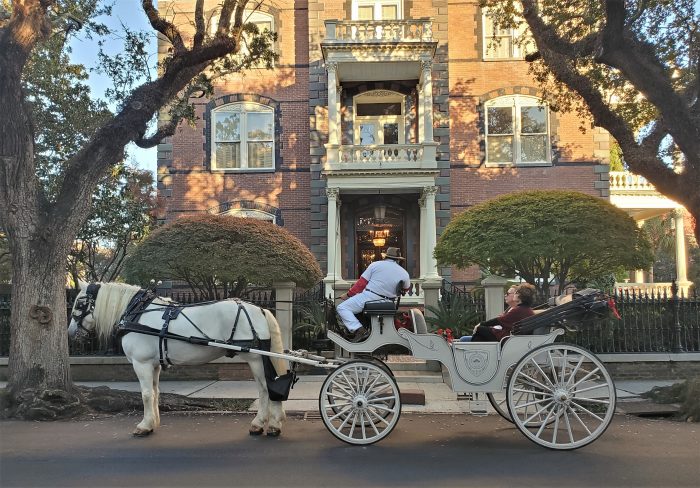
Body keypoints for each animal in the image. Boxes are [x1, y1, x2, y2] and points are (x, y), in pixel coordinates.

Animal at [65, 282, 284, 438]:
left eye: (80, 302)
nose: (70, 333)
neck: (137, 313)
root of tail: (260, 310)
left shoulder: (141, 363)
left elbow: (145, 394)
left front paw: (144, 426)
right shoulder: (153, 365)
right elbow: (155, 393)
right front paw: (153, 423)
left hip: (256, 358)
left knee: (266, 389)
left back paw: (266, 424)